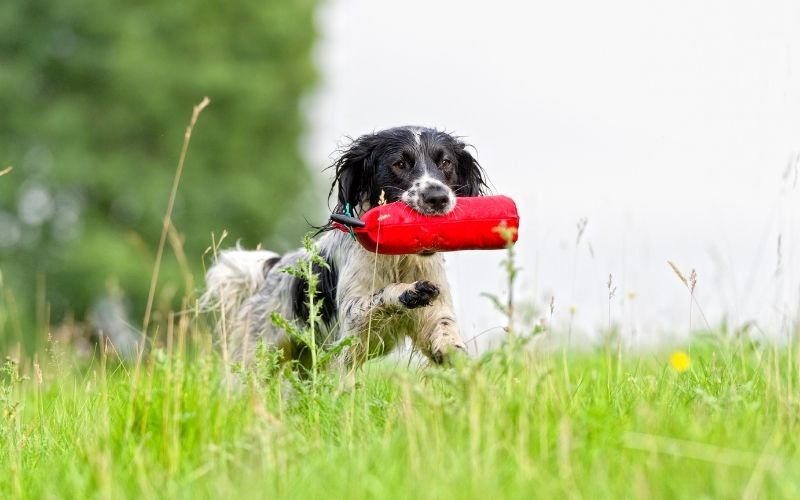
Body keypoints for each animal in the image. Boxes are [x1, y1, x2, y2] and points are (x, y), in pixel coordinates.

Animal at [200, 127, 488, 370]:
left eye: (445, 163)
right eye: (399, 164)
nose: (438, 197)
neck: (398, 259)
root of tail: (272, 267)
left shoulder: (435, 313)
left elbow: (445, 333)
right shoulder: (351, 320)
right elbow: (381, 296)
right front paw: (407, 292)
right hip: (258, 357)